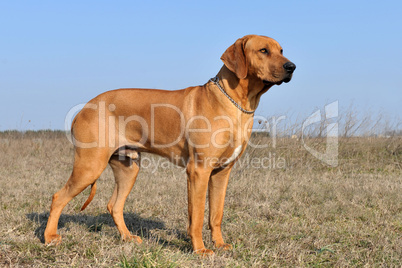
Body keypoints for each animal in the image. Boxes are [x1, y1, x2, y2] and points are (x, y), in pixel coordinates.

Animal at [44, 34, 296, 254]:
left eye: (281, 50)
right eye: (263, 50)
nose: (291, 67)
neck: (235, 102)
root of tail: (84, 108)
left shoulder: (222, 172)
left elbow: (216, 214)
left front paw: (219, 244)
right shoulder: (198, 171)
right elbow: (197, 217)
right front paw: (200, 250)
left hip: (129, 168)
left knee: (113, 205)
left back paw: (127, 237)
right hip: (90, 165)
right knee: (58, 197)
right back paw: (49, 237)